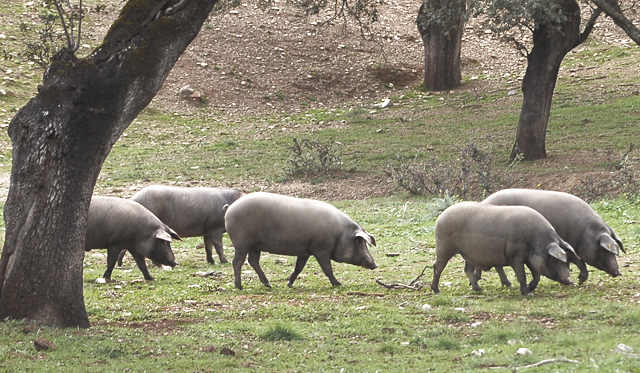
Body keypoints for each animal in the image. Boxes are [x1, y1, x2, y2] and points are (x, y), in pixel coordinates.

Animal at [224, 192, 378, 290]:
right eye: (359, 242)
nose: (375, 265)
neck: (340, 233)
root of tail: (230, 208)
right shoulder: (321, 250)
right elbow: (327, 269)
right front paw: (339, 284)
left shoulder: (305, 251)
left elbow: (298, 267)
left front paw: (289, 284)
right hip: (242, 243)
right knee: (237, 262)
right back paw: (239, 287)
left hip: (255, 246)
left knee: (253, 261)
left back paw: (269, 285)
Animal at [432, 202, 576, 294]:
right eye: (555, 260)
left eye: (567, 261)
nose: (570, 280)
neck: (535, 240)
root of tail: (440, 216)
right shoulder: (516, 256)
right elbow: (521, 275)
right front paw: (528, 293)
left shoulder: (529, 259)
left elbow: (536, 276)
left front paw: (530, 288)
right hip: (444, 248)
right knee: (437, 267)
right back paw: (436, 291)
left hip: (468, 253)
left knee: (467, 269)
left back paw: (479, 289)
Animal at [480, 187, 624, 284]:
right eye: (603, 250)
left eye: (616, 250)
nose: (618, 272)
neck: (585, 233)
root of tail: (484, 202)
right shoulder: (570, 245)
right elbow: (579, 261)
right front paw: (579, 281)